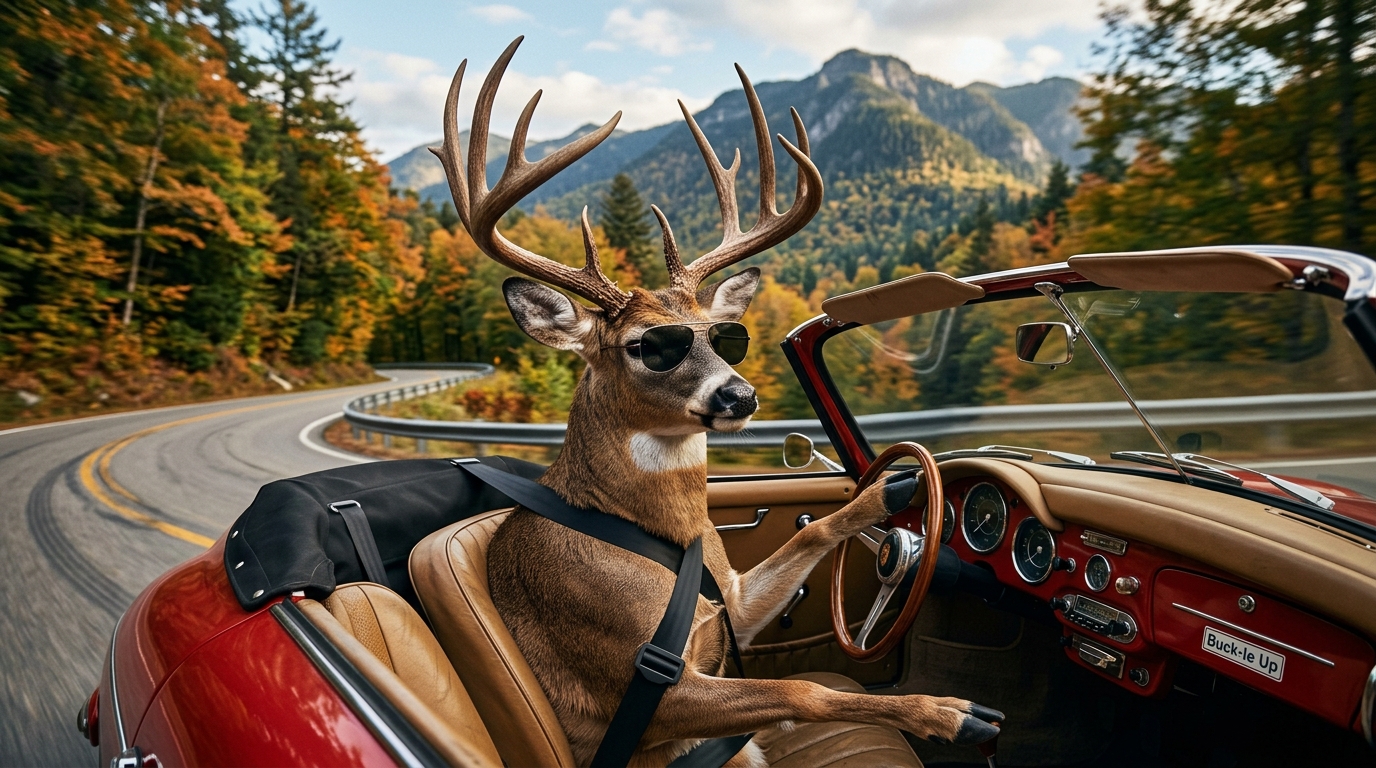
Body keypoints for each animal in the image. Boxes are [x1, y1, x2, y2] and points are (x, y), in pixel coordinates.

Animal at [432, 37, 1003, 767]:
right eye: (648, 346)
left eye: (725, 334)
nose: (741, 393)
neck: (658, 533)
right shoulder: (639, 686)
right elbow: (801, 691)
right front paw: (951, 713)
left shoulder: (726, 602)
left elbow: (811, 531)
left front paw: (895, 487)